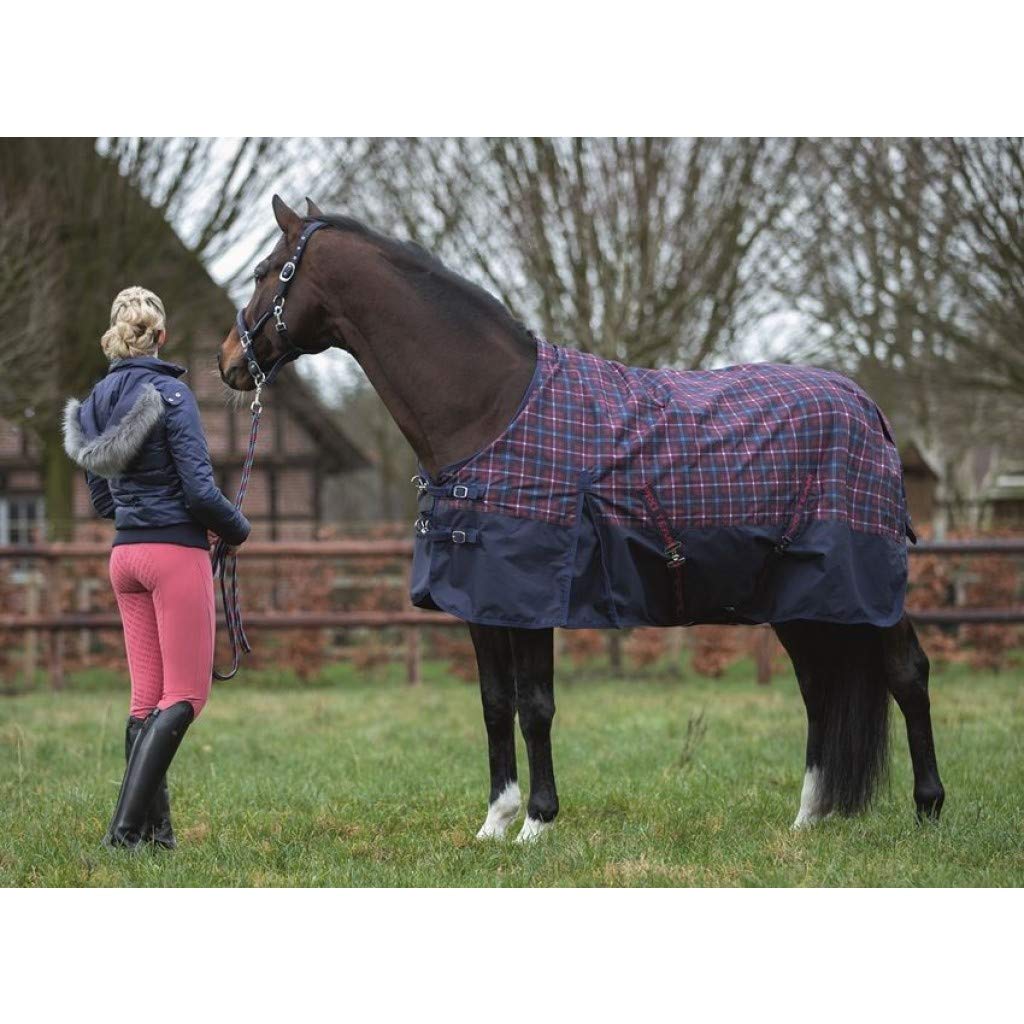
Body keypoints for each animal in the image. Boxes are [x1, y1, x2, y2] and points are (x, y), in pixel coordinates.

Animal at [218, 195, 945, 842]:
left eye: (263, 271)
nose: (227, 361)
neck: (490, 409)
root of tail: (871, 413)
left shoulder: (531, 595)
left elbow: (536, 707)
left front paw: (537, 824)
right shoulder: (482, 601)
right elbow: (495, 704)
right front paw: (495, 822)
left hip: (863, 585)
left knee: (907, 672)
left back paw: (928, 810)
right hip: (802, 597)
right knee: (820, 689)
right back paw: (807, 819)